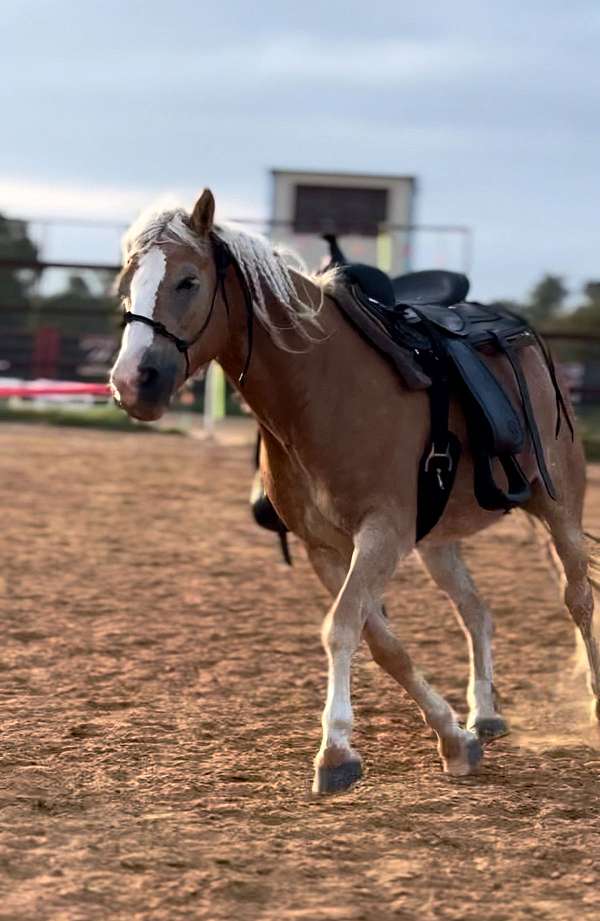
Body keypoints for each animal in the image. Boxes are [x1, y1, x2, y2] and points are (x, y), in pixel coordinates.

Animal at [111, 190, 600, 796]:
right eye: (125, 281)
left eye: (187, 281)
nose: (133, 382)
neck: (320, 389)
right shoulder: (327, 549)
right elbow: (381, 640)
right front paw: (453, 737)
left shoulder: (381, 534)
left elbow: (342, 627)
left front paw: (336, 751)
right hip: (440, 543)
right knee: (477, 612)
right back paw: (484, 713)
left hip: (560, 507)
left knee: (578, 598)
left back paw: (594, 707)